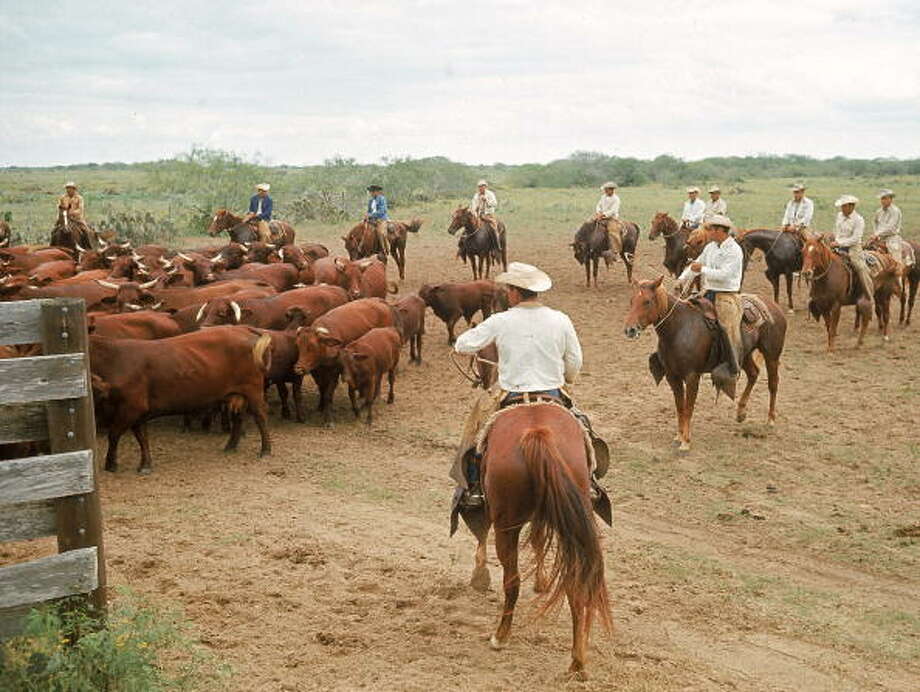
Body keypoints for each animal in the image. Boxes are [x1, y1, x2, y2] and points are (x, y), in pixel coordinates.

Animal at [90, 328, 274, 474]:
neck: (113, 360)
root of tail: (242, 329)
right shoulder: (138, 411)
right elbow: (142, 437)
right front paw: (145, 465)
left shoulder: (131, 407)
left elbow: (114, 433)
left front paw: (110, 464)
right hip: (237, 395)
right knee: (238, 417)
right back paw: (230, 446)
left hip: (253, 390)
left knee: (261, 416)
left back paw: (265, 450)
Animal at [468, 402, 612, 680]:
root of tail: (538, 435)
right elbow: (537, 539)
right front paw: (542, 581)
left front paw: (479, 575)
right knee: (574, 586)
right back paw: (577, 661)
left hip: (506, 527)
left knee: (512, 582)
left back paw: (500, 636)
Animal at [620, 278, 788, 454]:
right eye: (632, 301)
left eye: (647, 301)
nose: (630, 330)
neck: (679, 328)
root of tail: (774, 306)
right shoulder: (672, 376)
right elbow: (680, 407)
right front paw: (679, 436)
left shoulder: (692, 376)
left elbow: (688, 407)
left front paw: (686, 442)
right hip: (745, 354)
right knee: (753, 374)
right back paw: (741, 412)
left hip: (772, 355)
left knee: (773, 383)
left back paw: (770, 419)